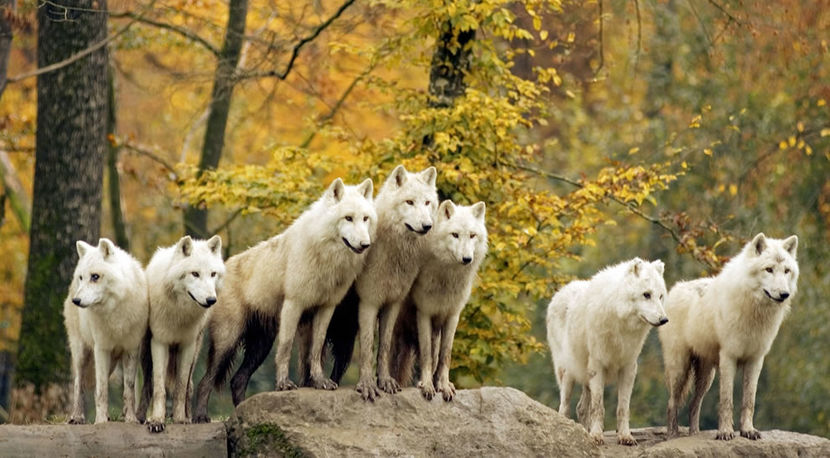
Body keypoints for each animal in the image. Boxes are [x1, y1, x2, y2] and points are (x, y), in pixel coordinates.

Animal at [62, 238, 149, 424]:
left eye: (95, 276)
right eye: (82, 277)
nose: (76, 301)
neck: (115, 311)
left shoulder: (131, 348)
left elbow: (129, 389)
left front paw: (130, 419)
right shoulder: (101, 348)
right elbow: (102, 389)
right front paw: (100, 421)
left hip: (112, 362)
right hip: (82, 353)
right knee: (78, 383)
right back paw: (77, 416)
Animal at [139, 236, 224, 432]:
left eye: (213, 274)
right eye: (195, 274)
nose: (211, 300)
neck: (180, 312)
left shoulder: (188, 345)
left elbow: (181, 385)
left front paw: (180, 419)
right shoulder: (159, 342)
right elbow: (159, 387)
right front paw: (156, 420)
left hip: (195, 351)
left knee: (189, 387)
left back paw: (190, 416)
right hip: (146, 353)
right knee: (148, 384)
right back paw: (140, 417)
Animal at [390, 200, 488, 400]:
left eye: (472, 235)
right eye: (455, 235)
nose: (467, 259)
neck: (447, 278)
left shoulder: (452, 316)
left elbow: (445, 356)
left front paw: (443, 386)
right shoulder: (424, 313)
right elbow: (426, 356)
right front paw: (427, 386)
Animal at [544, 258, 668, 444]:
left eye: (661, 296)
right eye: (646, 294)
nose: (664, 319)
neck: (620, 322)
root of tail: (560, 292)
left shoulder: (629, 367)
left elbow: (623, 407)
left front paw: (625, 436)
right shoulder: (598, 366)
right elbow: (598, 407)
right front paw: (596, 435)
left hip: (585, 376)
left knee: (581, 408)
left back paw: (584, 431)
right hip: (568, 373)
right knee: (564, 407)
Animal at [660, 234, 804, 442]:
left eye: (787, 271)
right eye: (769, 269)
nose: (784, 294)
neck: (755, 313)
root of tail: (675, 289)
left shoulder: (755, 360)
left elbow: (749, 401)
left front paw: (748, 430)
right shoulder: (729, 357)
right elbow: (727, 401)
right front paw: (726, 432)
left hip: (706, 376)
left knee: (694, 404)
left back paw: (694, 434)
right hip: (680, 368)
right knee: (672, 404)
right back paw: (672, 436)